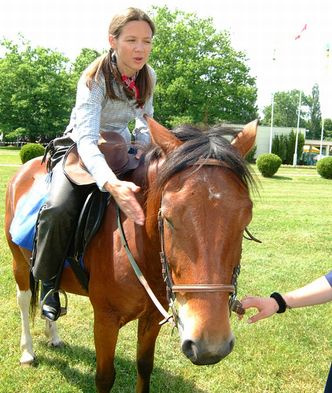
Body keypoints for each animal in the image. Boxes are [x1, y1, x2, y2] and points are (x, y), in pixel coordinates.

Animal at [5, 118, 256, 390]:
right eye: (168, 218)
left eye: (245, 219)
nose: (211, 346)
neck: (143, 252)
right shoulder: (105, 320)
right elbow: (105, 376)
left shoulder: (152, 318)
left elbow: (144, 366)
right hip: (18, 262)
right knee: (23, 299)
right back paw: (27, 352)